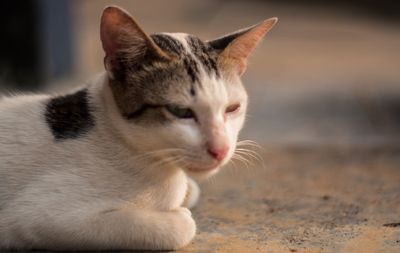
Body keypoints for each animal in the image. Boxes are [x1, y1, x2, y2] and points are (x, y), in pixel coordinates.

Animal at [0, 4, 276, 250]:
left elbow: (192, 189)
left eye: (232, 108)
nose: (221, 150)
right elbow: (182, 226)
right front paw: (180, 214)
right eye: (180, 112)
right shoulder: (41, 215)